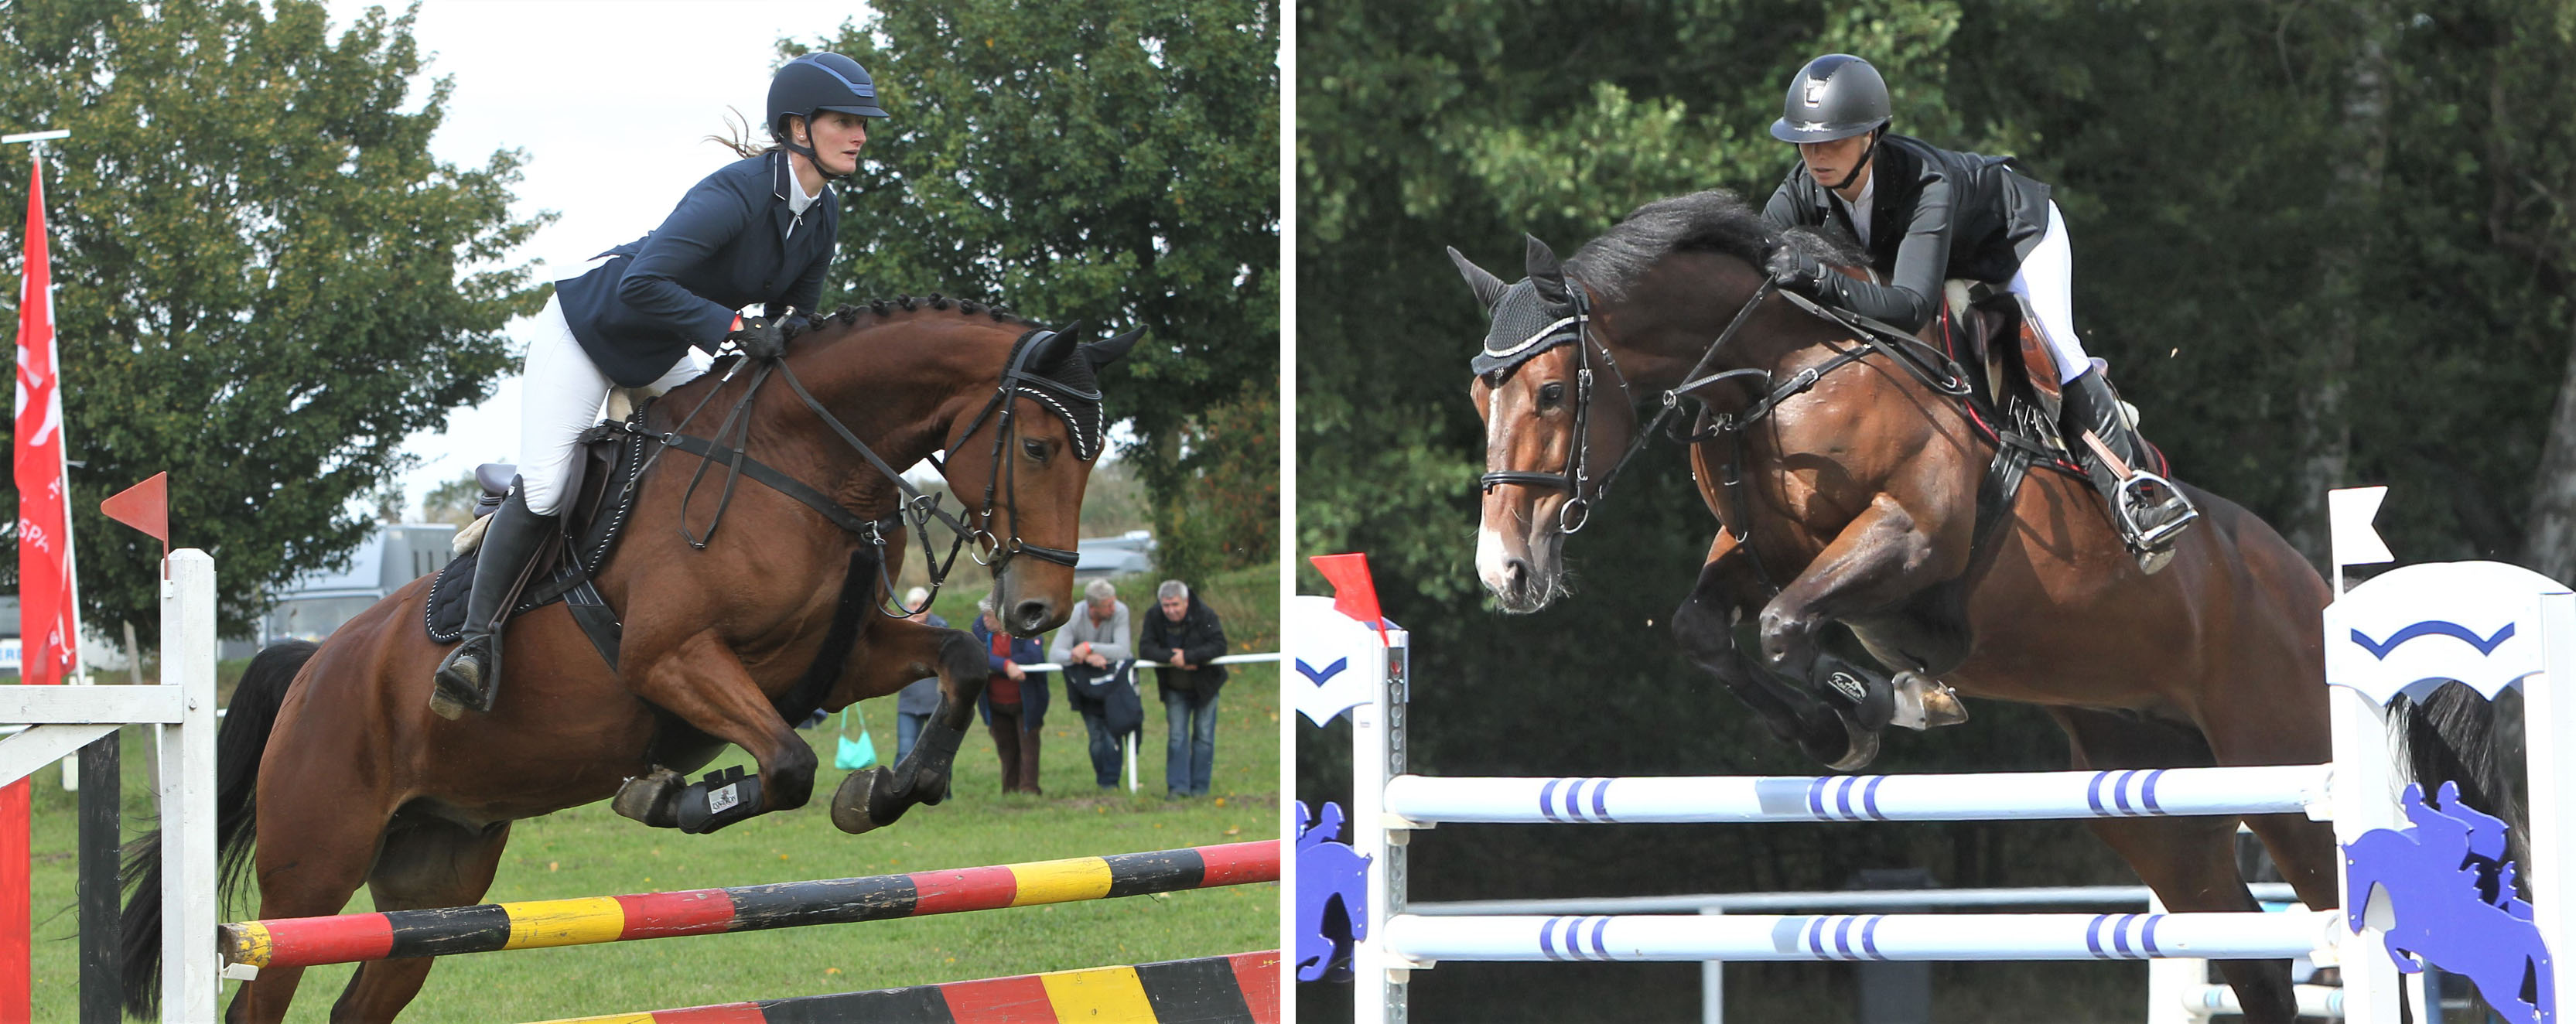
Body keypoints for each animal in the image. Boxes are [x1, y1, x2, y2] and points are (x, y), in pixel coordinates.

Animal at [113, 299, 1138, 1019]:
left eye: (1090, 457)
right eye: (1037, 446)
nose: (1039, 608)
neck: (798, 460)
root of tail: (312, 667)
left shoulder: (834, 657)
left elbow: (956, 659)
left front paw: (892, 787)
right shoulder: (671, 658)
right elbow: (788, 764)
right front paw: (667, 796)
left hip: (433, 881)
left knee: (363, 1001)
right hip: (310, 879)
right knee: (260, 995)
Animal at [1463, 190, 2503, 1013]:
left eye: (1550, 392)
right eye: (1483, 402)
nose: (1505, 570)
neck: (1780, 368)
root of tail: (2316, 590)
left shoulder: (1911, 535)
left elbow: (1790, 625)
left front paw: (1883, 700)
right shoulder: (1760, 550)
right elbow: (1708, 629)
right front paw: (1832, 726)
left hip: (2287, 774)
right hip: (2160, 809)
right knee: (2247, 957)